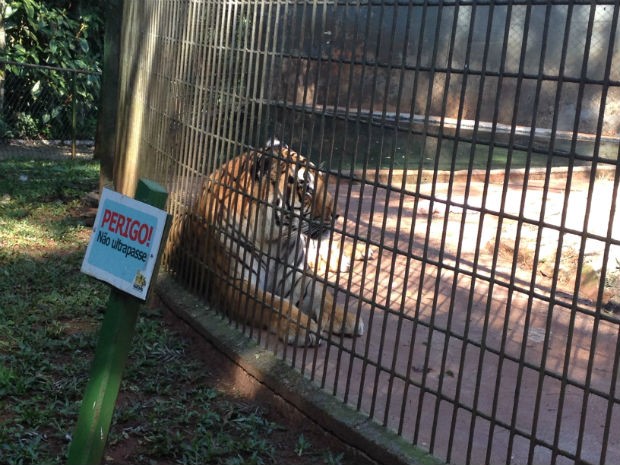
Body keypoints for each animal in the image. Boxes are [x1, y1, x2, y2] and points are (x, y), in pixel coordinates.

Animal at [189, 140, 370, 346]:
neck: (272, 241)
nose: (337, 214)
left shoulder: (298, 275)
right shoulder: (231, 283)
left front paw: (345, 318)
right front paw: (303, 327)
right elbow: (274, 303)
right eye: (307, 189)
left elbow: (323, 294)